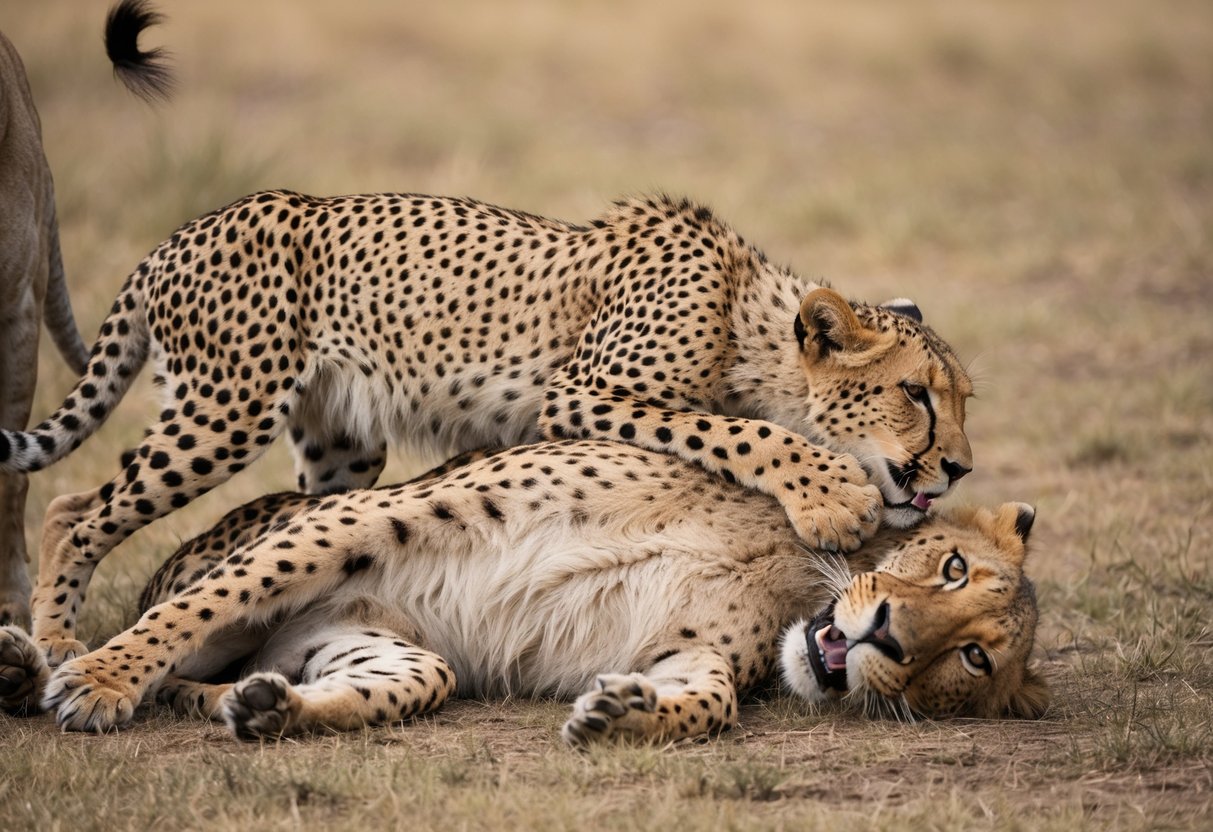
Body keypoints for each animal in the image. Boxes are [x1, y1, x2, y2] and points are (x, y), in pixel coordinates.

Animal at [0, 189, 974, 666]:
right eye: (917, 395)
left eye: (962, 398)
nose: (958, 470)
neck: (750, 321)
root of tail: (183, 232)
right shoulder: (581, 395)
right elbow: (738, 434)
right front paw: (830, 496)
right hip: (224, 410)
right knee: (74, 510)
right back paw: (55, 639)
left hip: (340, 444)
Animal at [0, 440, 1047, 743]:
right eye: (952, 569)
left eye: (971, 657)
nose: (886, 638)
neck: (792, 571)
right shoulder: (373, 515)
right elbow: (190, 610)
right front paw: (97, 682)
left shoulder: (693, 652)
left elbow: (707, 703)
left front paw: (625, 714)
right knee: (176, 624)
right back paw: (43, 667)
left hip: (389, 650)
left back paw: (263, 707)